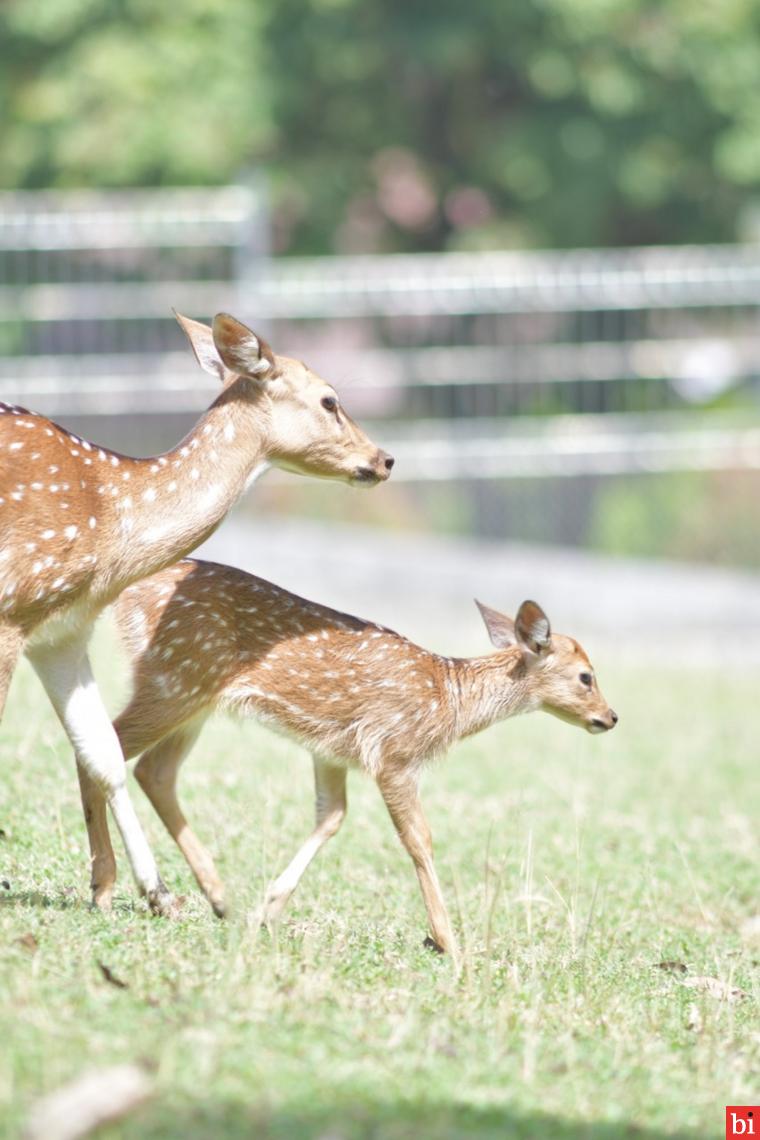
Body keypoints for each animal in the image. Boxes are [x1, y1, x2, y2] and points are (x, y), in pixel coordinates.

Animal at [0, 312, 391, 916]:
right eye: (330, 399)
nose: (384, 459)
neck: (109, 514)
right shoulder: (11, 605)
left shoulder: (60, 631)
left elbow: (101, 752)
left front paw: (153, 893)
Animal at [104, 556, 619, 948]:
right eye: (586, 676)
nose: (611, 717)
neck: (448, 701)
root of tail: (130, 592)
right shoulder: (395, 753)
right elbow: (419, 839)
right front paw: (449, 942)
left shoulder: (331, 749)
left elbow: (332, 815)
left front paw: (268, 910)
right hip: (176, 678)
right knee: (108, 745)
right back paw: (114, 888)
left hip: (193, 697)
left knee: (154, 770)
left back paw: (213, 894)